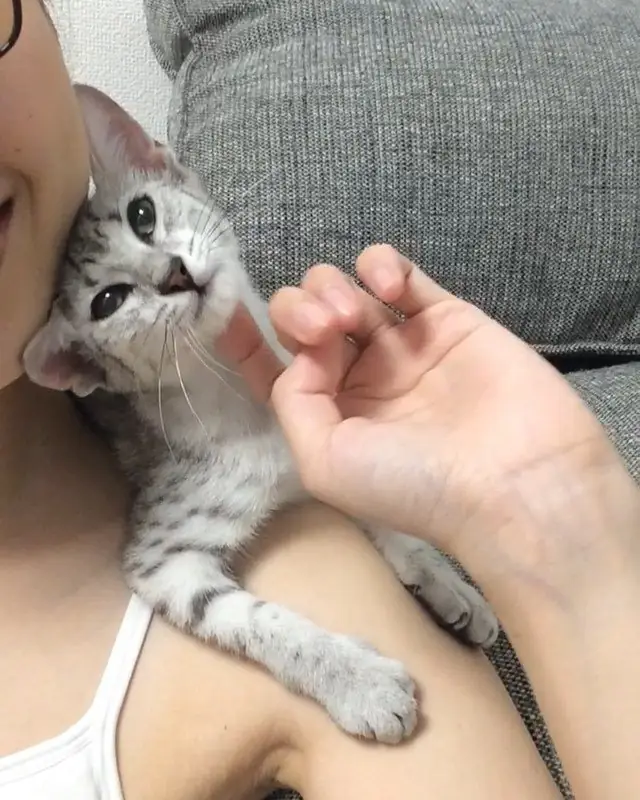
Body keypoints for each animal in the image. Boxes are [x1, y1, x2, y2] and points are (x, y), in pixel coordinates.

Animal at [24, 85, 498, 744]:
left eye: (143, 215)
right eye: (108, 302)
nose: (172, 273)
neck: (246, 393)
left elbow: (379, 513)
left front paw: (444, 579)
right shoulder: (161, 559)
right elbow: (254, 620)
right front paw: (358, 681)